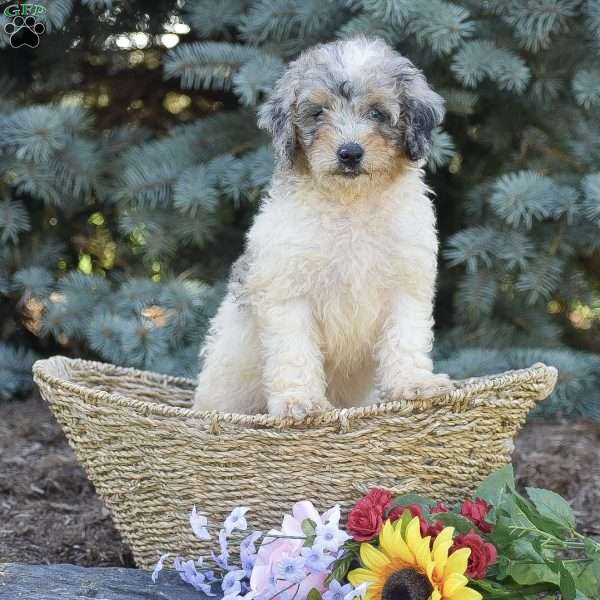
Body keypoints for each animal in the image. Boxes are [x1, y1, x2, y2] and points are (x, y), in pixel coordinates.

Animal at [195, 36, 452, 412]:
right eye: (318, 113)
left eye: (377, 113)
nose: (349, 153)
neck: (351, 205)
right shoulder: (288, 291)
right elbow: (295, 351)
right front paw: (299, 401)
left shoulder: (405, 285)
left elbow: (405, 340)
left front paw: (415, 384)